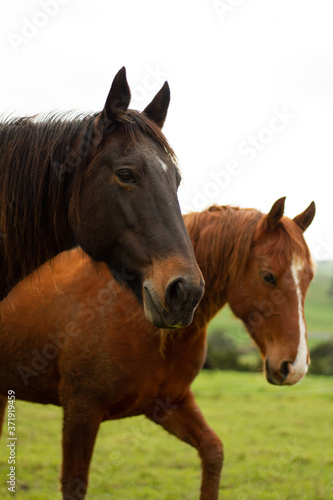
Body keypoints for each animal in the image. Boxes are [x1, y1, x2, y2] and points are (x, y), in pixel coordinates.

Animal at [0, 197, 314, 498]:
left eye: (309, 278)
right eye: (268, 276)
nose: (296, 366)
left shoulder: (168, 404)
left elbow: (213, 452)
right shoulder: (81, 410)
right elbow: (73, 485)